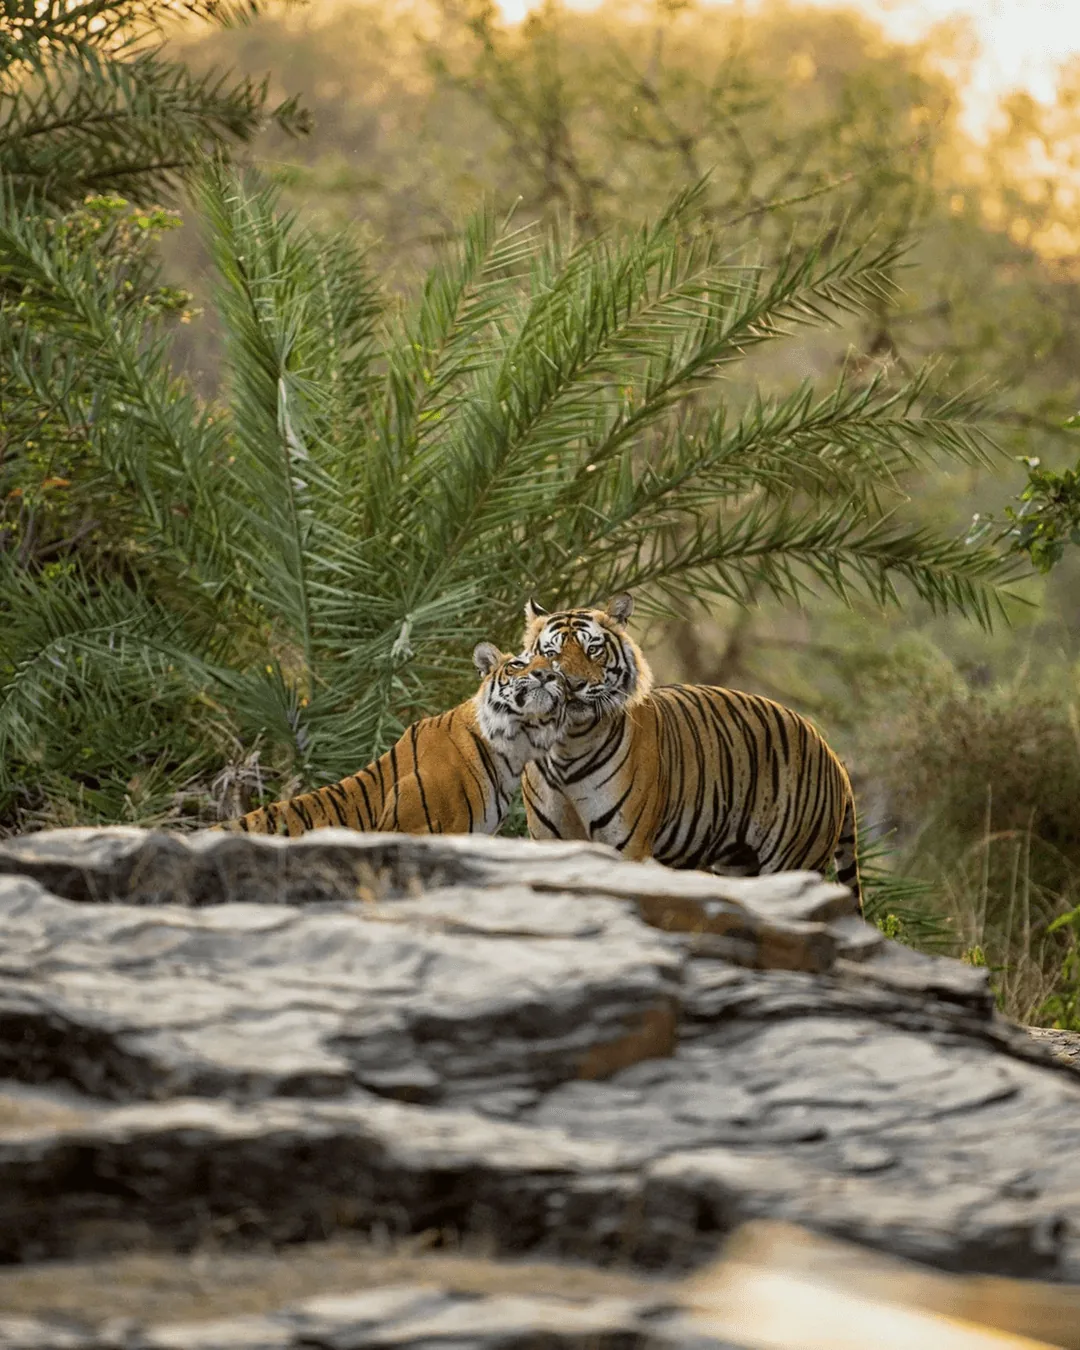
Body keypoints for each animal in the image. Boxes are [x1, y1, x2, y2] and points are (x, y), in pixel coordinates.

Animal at [519, 593, 862, 910]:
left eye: (593, 649)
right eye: (551, 653)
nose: (571, 684)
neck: (569, 742)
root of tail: (834, 758)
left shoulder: (627, 844)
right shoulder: (549, 841)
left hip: (793, 860)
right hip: (738, 864)